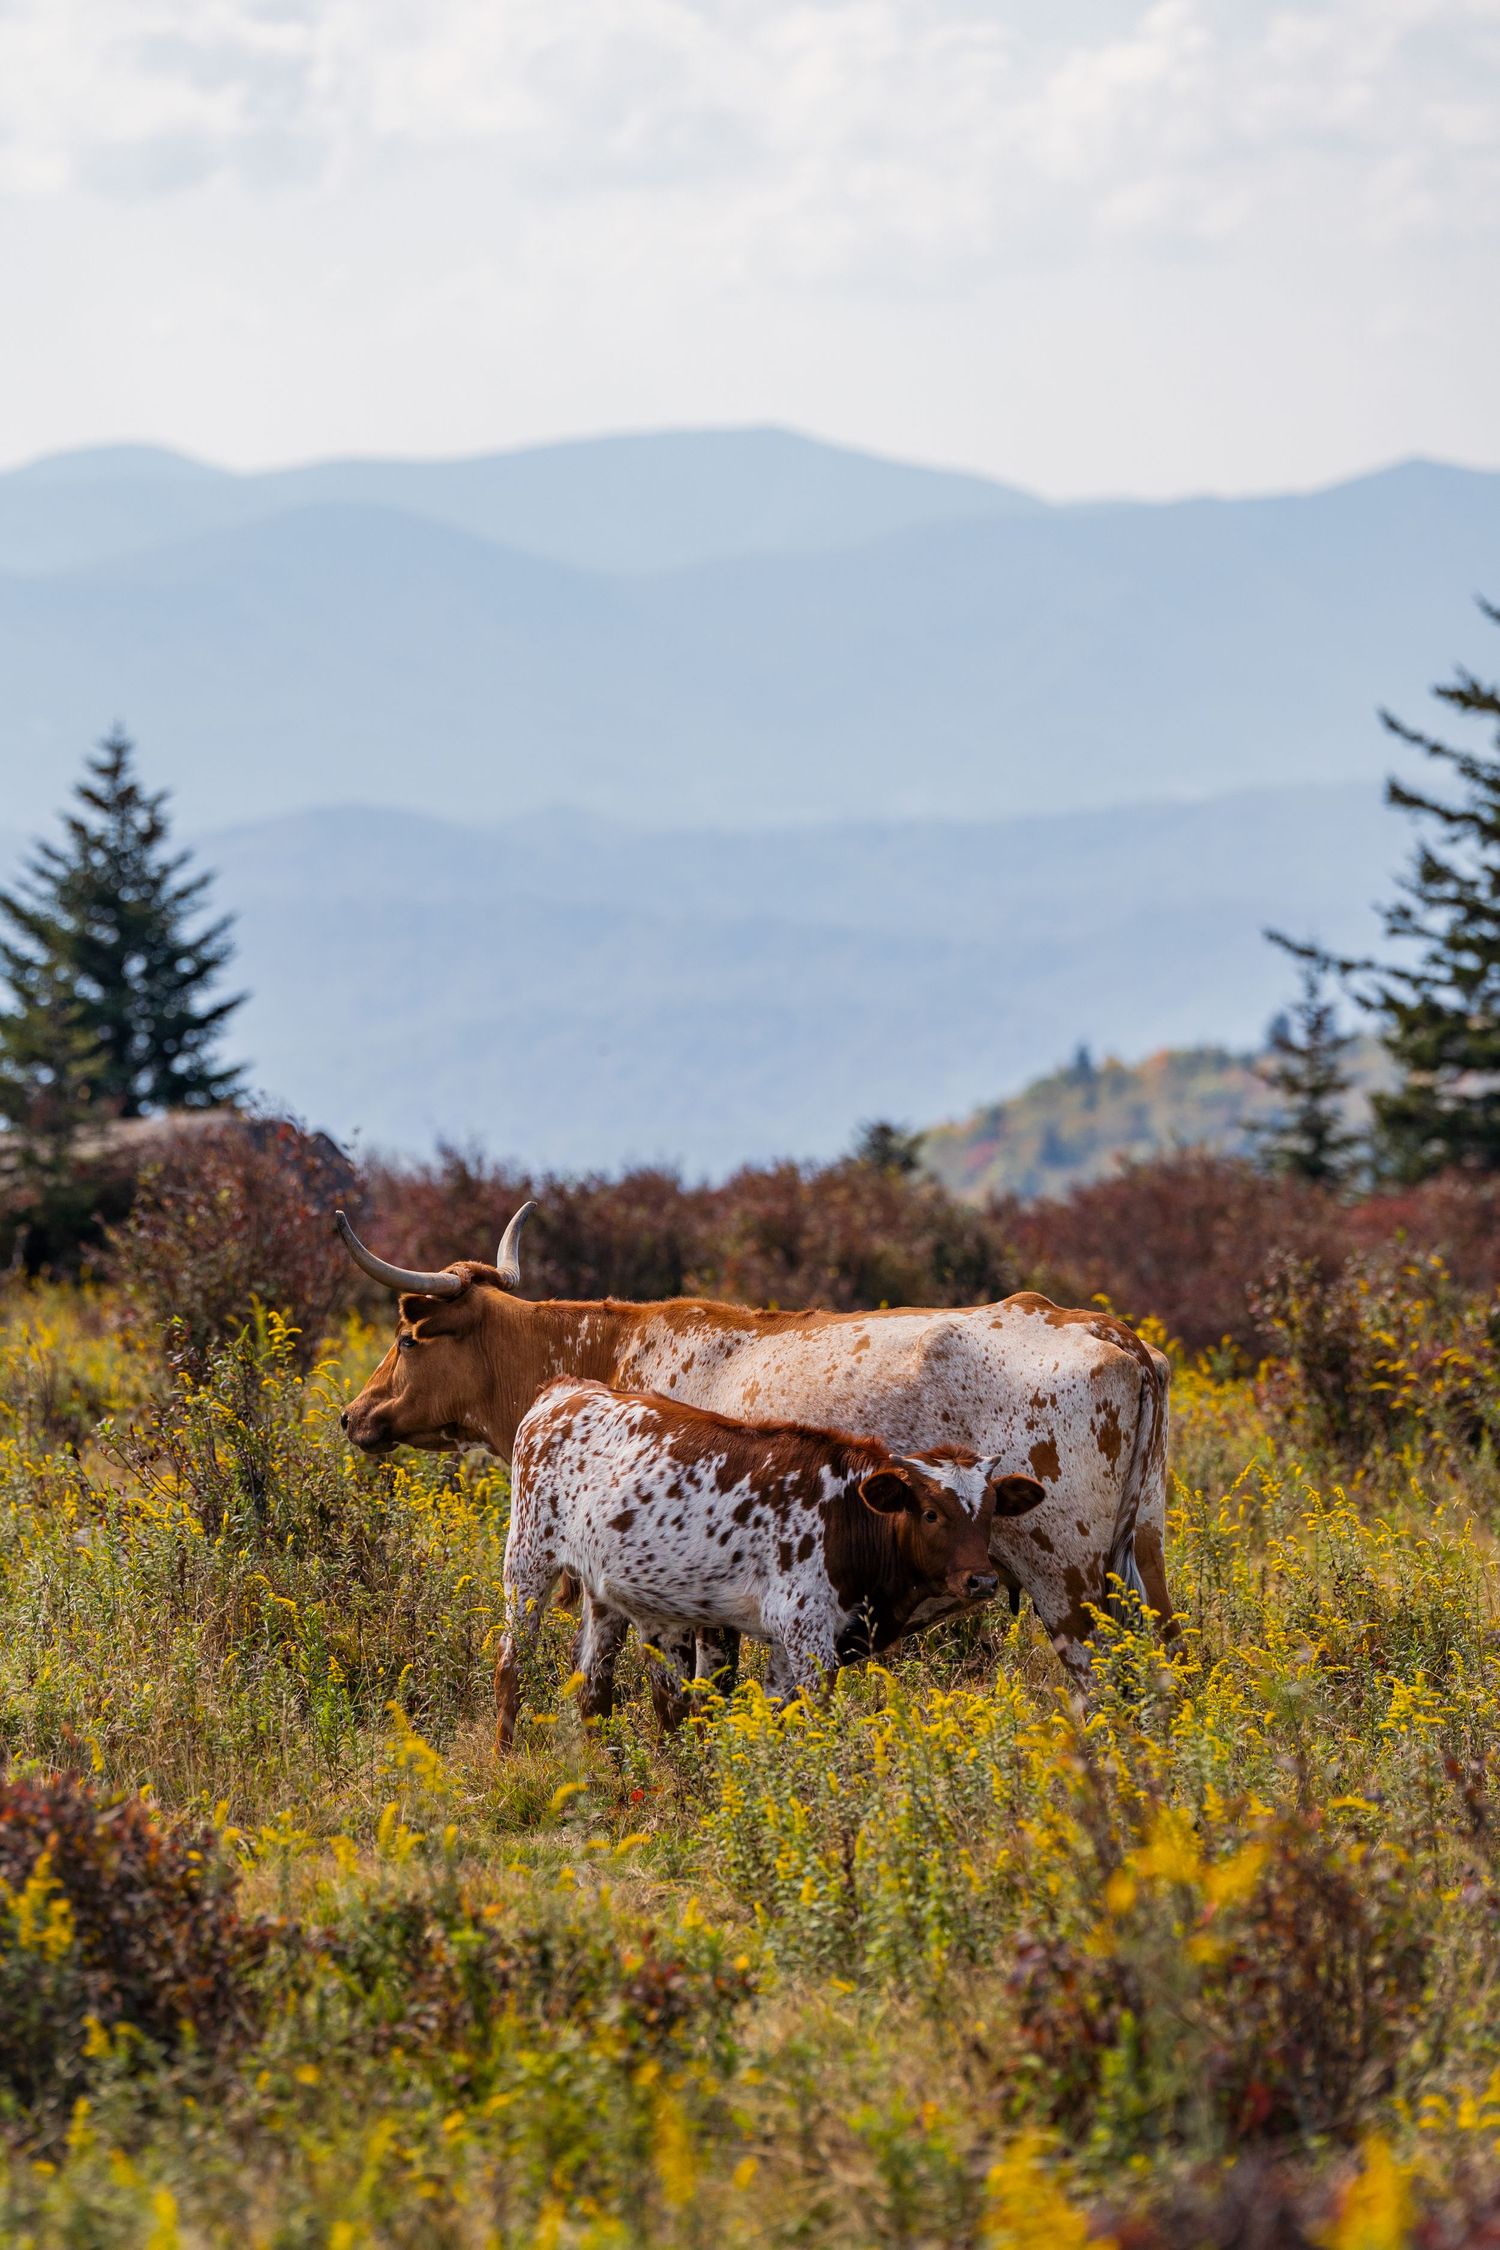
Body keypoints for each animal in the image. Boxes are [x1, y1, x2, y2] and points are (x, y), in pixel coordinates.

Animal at [336, 1204, 1174, 1686]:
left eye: (409, 1338)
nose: (353, 1415)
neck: (610, 1354)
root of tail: (1114, 1334)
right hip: (1142, 1562)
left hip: (1066, 1581)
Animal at [494, 1377, 1046, 1747]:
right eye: (931, 1513)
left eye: (990, 1513)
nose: (981, 1581)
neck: (847, 1515)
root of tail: (566, 1390)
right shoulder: (805, 1629)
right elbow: (816, 1716)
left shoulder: (794, 1642)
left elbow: (780, 1714)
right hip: (528, 1561)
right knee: (510, 1661)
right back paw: (506, 1753)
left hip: (604, 1591)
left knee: (592, 1683)